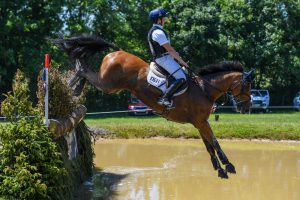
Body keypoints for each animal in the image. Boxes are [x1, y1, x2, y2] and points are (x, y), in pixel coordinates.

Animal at [53, 35, 253, 179]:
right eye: (248, 86)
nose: (247, 107)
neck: (205, 88)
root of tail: (116, 52)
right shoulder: (201, 121)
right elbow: (214, 142)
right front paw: (227, 166)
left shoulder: (199, 122)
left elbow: (210, 144)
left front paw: (220, 168)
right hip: (108, 84)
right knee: (84, 70)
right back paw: (71, 86)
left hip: (109, 83)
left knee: (85, 71)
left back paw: (73, 88)